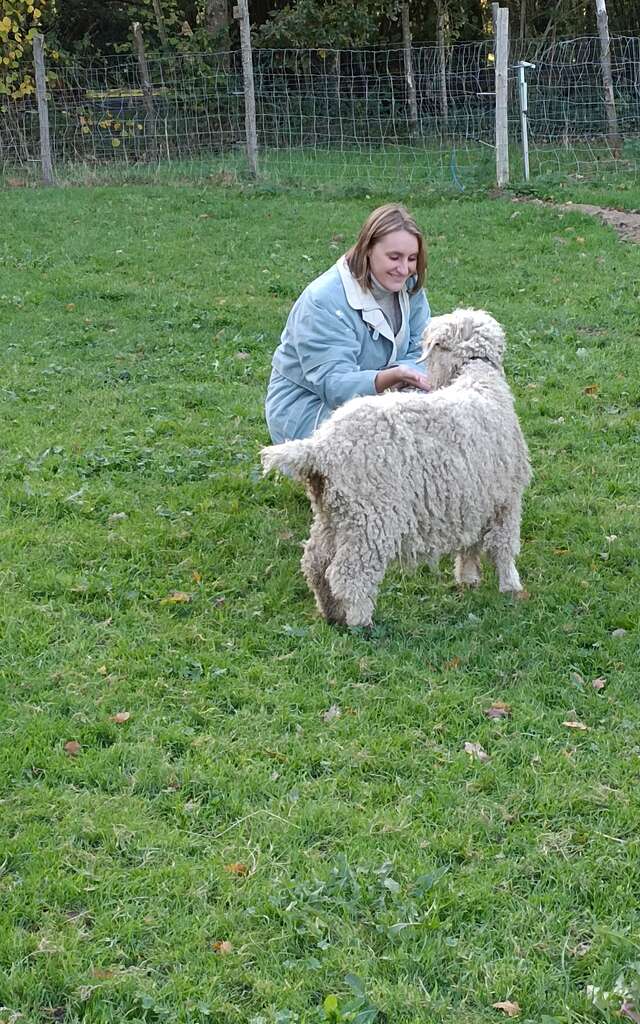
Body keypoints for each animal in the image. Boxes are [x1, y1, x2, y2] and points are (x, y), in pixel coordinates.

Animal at [258, 305, 528, 622]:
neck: (477, 376)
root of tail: (320, 448)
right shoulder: (506, 498)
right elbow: (503, 545)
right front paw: (510, 586)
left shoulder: (473, 499)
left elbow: (470, 544)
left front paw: (468, 579)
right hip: (370, 515)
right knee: (349, 574)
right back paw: (361, 621)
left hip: (333, 513)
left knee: (316, 563)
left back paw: (331, 613)